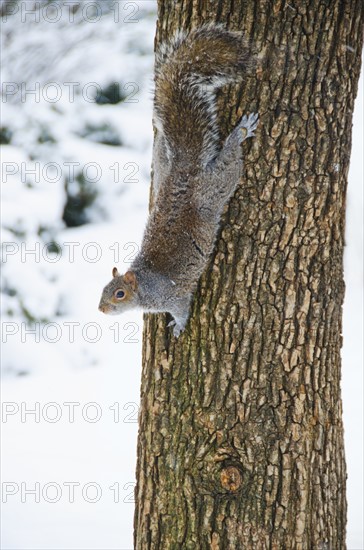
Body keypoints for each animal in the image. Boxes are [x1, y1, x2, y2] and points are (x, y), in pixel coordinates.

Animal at [99, 25, 258, 338]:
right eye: (103, 289)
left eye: (119, 294)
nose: (100, 309)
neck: (146, 285)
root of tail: (183, 171)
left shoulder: (174, 296)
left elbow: (182, 309)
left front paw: (179, 326)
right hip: (163, 171)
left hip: (214, 188)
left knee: (230, 164)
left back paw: (241, 132)